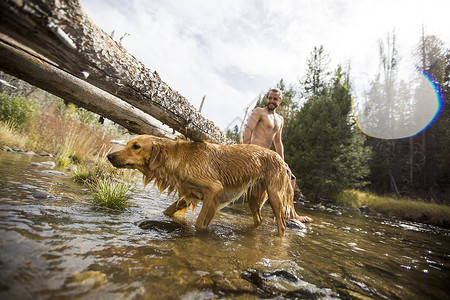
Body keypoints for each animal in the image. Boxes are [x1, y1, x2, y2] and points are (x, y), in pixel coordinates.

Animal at [107, 135, 294, 236]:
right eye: (128, 144)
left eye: (136, 146)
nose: (110, 156)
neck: (177, 158)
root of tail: (282, 160)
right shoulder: (189, 194)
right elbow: (167, 211)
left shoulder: (214, 190)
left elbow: (199, 224)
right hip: (254, 198)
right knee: (259, 219)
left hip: (275, 195)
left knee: (282, 224)